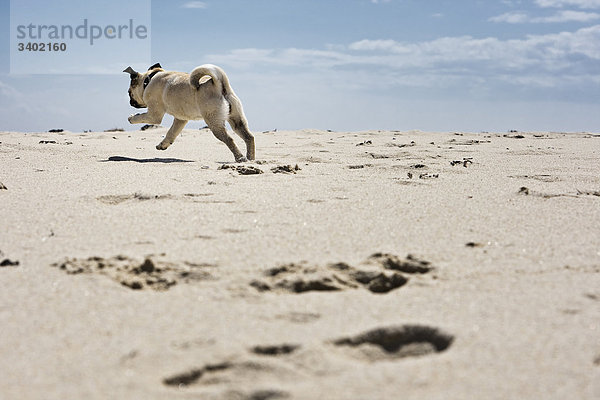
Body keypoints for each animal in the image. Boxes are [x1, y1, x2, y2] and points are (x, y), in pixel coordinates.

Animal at [124, 63, 255, 162]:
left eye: (129, 93)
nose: (130, 102)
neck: (148, 80)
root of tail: (219, 83)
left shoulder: (153, 115)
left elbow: (141, 117)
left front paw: (131, 118)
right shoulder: (180, 120)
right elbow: (171, 133)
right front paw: (163, 144)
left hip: (213, 122)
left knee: (229, 139)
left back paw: (240, 158)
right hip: (237, 120)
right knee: (249, 137)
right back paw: (251, 158)